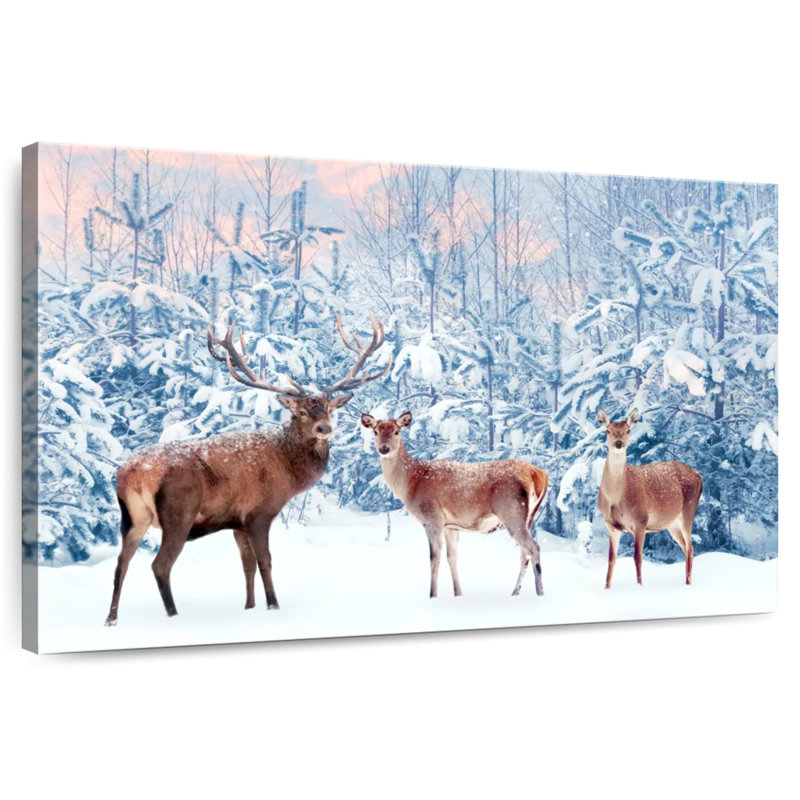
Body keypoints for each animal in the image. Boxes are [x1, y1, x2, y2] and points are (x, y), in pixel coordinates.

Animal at [104, 313, 391, 626]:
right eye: (301, 411)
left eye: (329, 408)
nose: (324, 428)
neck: (288, 471)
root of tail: (131, 474)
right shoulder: (259, 514)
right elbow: (265, 561)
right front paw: (273, 606)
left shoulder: (236, 522)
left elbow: (247, 565)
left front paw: (250, 607)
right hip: (179, 513)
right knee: (159, 565)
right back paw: (173, 614)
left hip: (132, 518)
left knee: (121, 563)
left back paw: (111, 619)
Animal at [360, 412, 549, 598]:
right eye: (375, 431)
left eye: (397, 431)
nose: (384, 448)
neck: (412, 483)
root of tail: (539, 474)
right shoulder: (450, 525)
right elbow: (452, 558)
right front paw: (458, 594)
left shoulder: (432, 518)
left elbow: (434, 559)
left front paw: (432, 595)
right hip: (528, 518)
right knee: (524, 553)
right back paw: (515, 592)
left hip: (511, 512)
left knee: (534, 548)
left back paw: (540, 594)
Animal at [597, 408, 703, 589]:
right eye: (607, 430)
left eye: (628, 430)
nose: (618, 444)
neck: (616, 499)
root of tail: (699, 476)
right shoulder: (611, 525)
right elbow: (611, 559)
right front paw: (606, 588)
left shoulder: (641, 520)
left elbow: (637, 558)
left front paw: (640, 586)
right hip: (672, 523)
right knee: (686, 547)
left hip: (689, 510)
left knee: (690, 547)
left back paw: (688, 583)